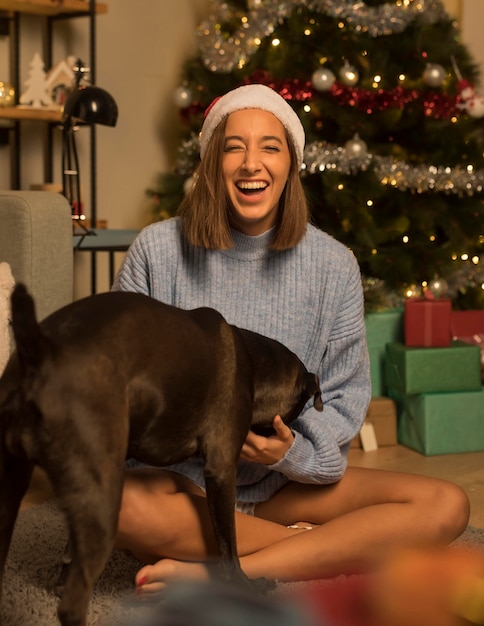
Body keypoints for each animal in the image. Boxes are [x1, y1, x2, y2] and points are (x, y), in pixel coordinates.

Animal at [1, 286, 324, 624]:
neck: (252, 360)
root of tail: (40, 349)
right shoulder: (222, 469)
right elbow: (228, 546)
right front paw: (246, 587)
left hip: (11, 491)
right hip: (103, 503)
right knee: (72, 606)